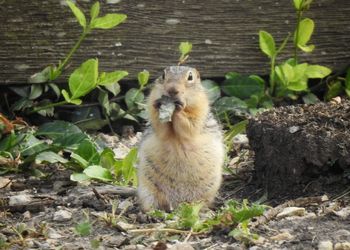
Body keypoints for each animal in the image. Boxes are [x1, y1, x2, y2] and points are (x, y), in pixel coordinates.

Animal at [137, 65, 224, 211]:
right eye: (163, 75)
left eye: (190, 77)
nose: (172, 89)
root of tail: (177, 204)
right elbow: (160, 127)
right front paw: (160, 105)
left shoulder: (200, 108)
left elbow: (190, 125)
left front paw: (179, 108)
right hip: (147, 191)